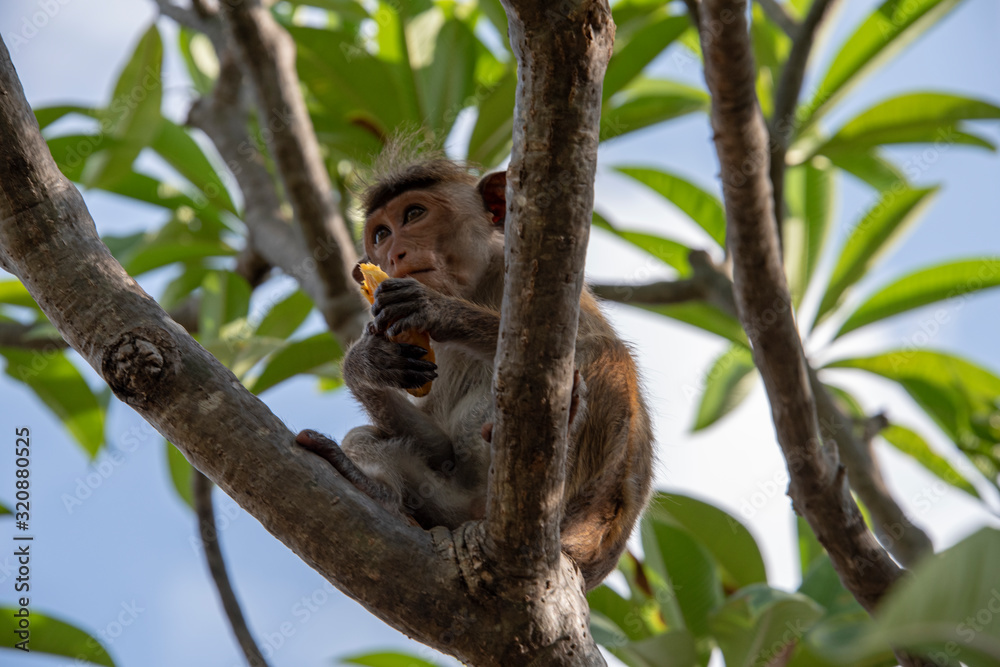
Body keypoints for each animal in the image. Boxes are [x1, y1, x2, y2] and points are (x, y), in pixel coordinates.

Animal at [294, 157, 656, 588]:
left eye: (413, 214)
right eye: (380, 234)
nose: (394, 252)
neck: (477, 289)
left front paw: (438, 310)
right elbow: (440, 446)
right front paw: (366, 361)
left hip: (592, 518)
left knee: (607, 354)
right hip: (444, 501)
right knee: (372, 438)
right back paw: (376, 489)